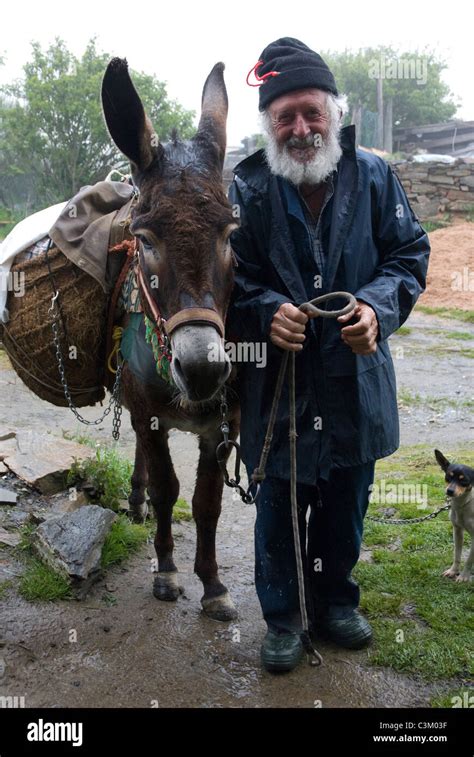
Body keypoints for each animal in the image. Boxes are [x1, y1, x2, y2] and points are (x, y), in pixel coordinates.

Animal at [436, 452, 474, 580]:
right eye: (448, 477)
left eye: (464, 480)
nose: (449, 491)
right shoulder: (457, 531)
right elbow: (457, 555)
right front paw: (453, 571)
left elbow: (469, 560)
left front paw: (464, 576)